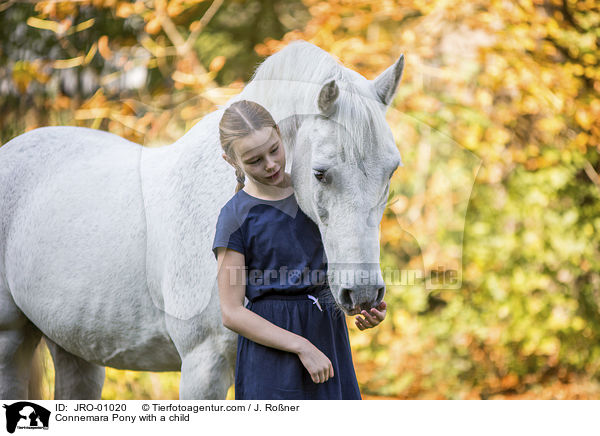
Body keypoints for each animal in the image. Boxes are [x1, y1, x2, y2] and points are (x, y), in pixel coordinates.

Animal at [0, 41, 406, 398]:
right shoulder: (204, 365)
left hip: (75, 349)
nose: (364, 294)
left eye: (391, 171)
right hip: (11, 343)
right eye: (321, 173)